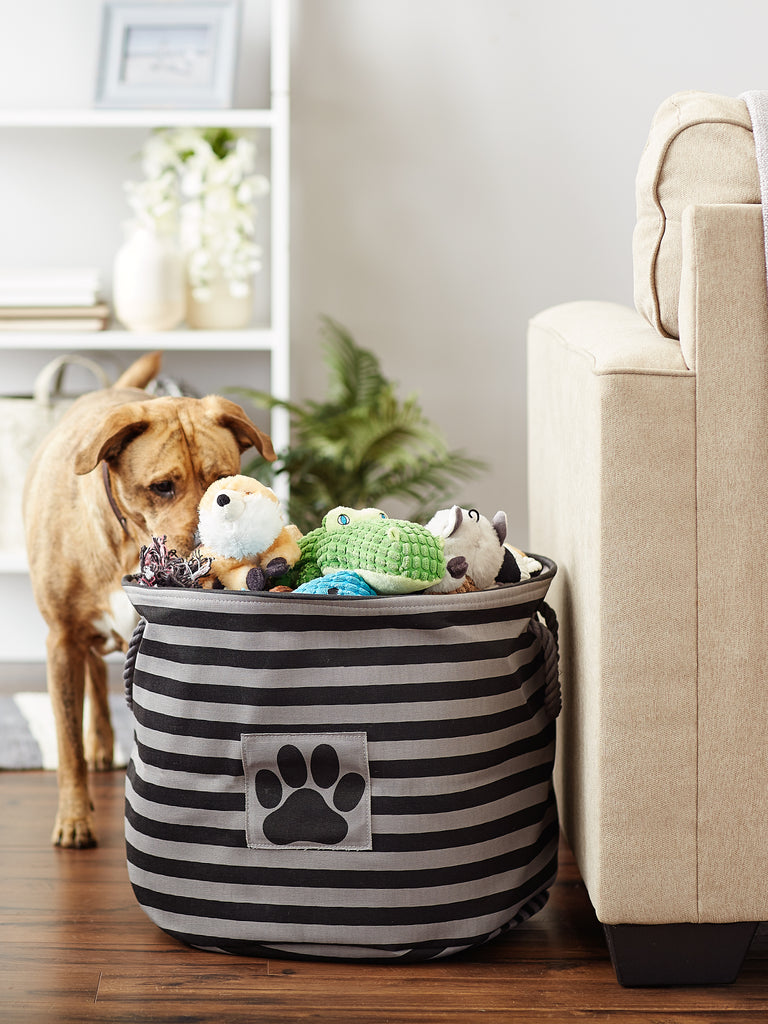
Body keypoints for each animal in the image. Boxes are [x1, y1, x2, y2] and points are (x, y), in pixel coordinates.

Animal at [23, 352, 276, 847]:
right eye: (162, 487)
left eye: (223, 482)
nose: (207, 553)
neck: (129, 539)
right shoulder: (60, 639)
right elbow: (67, 744)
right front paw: (74, 817)